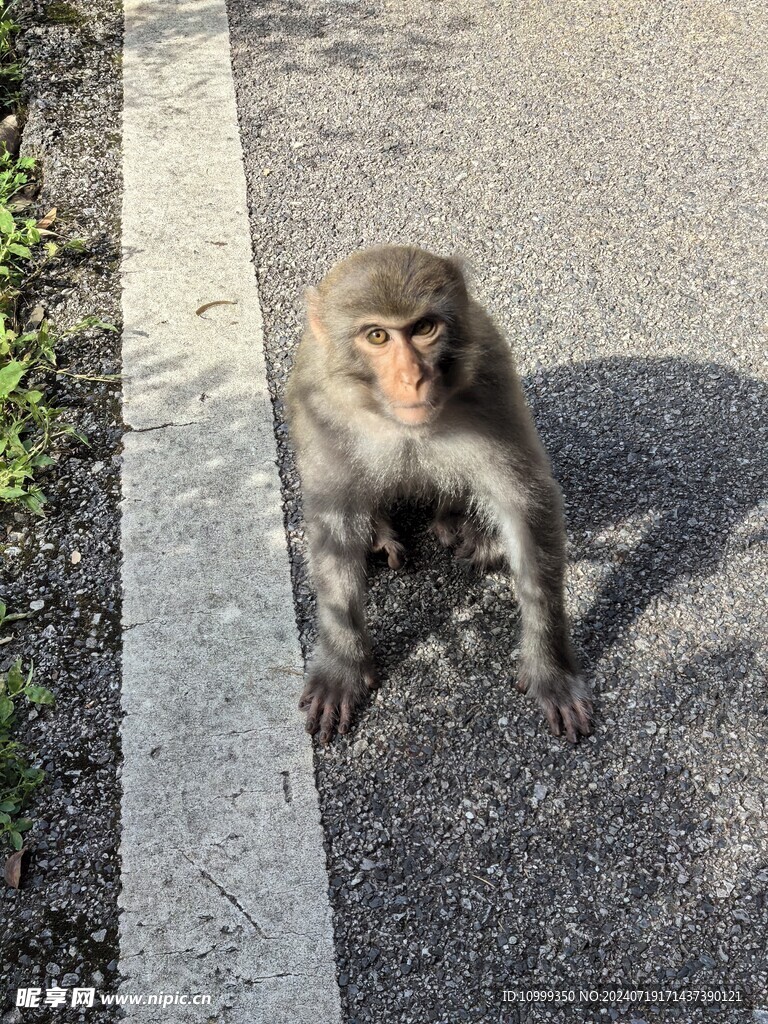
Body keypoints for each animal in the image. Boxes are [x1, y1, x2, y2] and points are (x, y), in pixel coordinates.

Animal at [286, 246, 593, 745]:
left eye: (424, 328)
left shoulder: (491, 383)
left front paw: (551, 669)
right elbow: (334, 520)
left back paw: (466, 527)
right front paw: (341, 663)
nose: (412, 377)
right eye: (377, 336)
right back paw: (380, 533)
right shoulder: (323, 411)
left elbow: (527, 506)